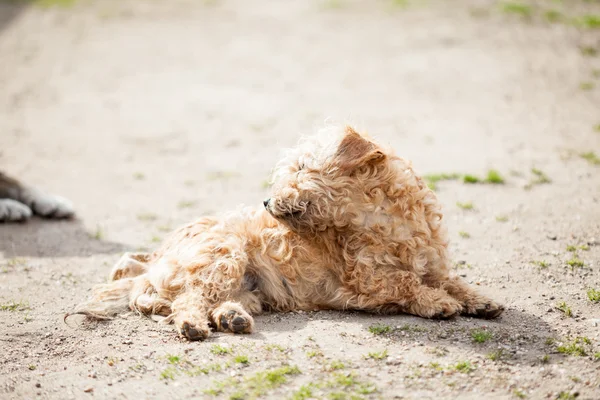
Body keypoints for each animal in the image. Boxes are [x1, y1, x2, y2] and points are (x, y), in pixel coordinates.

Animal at [72, 126, 506, 340]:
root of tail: (153, 269)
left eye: (299, 168)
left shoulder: (434, 266)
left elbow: (454, 281)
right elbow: (406, 282)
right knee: (189, 301)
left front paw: (481, 301)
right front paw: (438, 303)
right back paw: (193, 326)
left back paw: (231, 318)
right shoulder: (363, 281)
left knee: (216, 301)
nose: (265, 201)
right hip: (224, 254)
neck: (385, 221)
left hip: (248, 287)